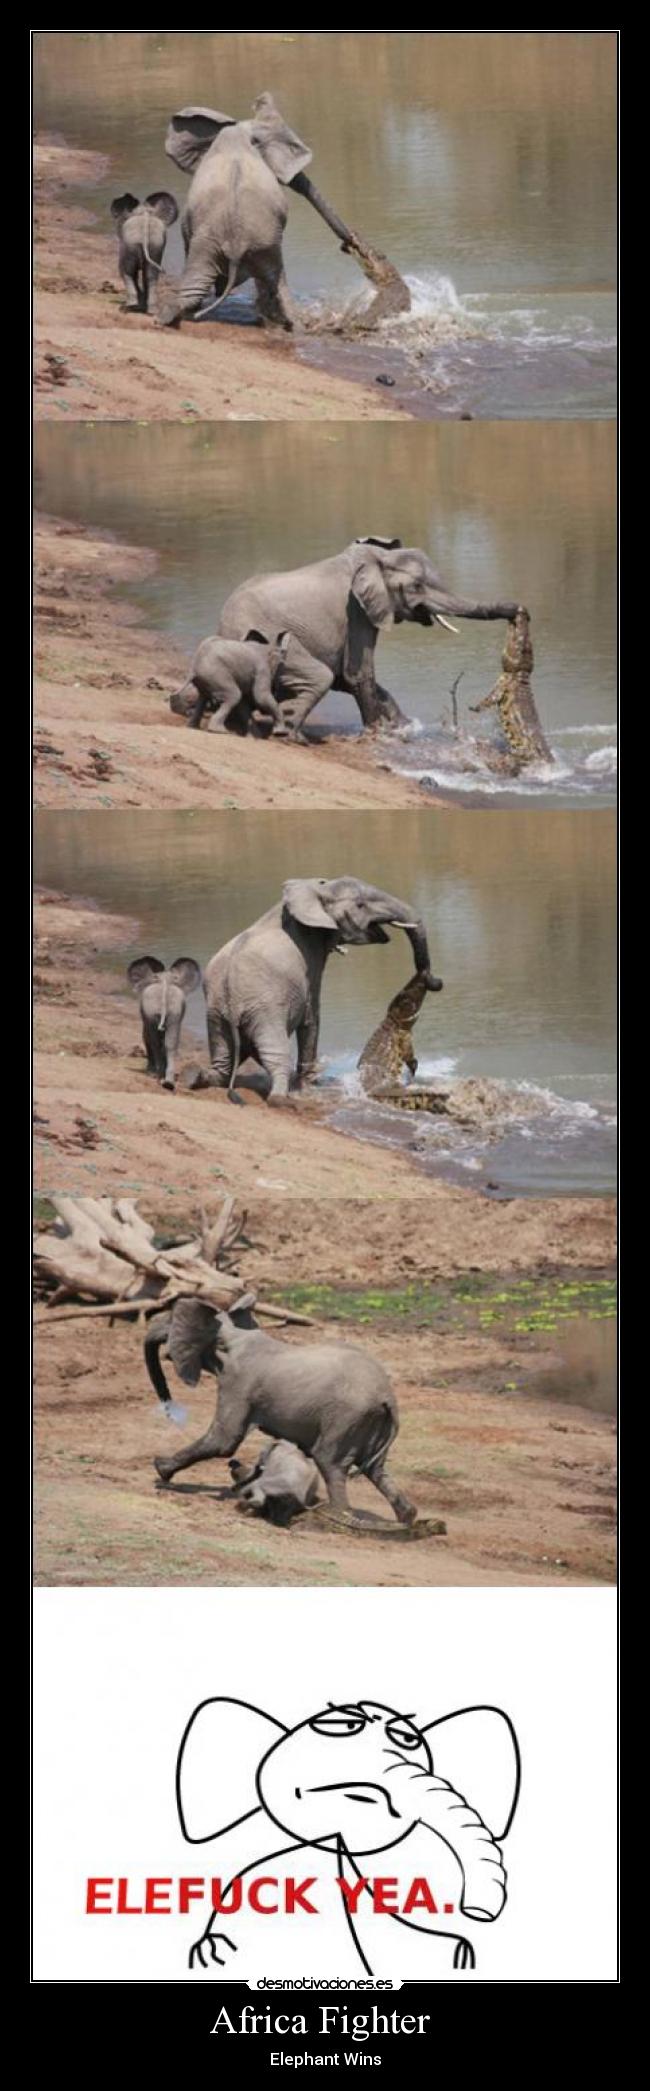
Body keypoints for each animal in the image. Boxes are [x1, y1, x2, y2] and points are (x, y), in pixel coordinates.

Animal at [127, 955, 201, 1091]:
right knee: (170, 1043)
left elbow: (146, 1036)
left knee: (155, 1041)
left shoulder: (146, 1013)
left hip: (152, 1009)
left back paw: (157, 1076)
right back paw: (168, 1082)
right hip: (174, 1012)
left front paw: (149, 1071)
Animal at [147, 1294, 416, 1525]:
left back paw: (337, 1517)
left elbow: (224, 1440)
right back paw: (407, 1519)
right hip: (371, 1422)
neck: (235, 1335)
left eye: (170, 1321)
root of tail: (388, 1397)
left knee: (330, 1462)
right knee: (376, 1470)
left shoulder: (238, 1383)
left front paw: (160, 1470)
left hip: (346, 1418)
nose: (169, 1407)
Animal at [170, 630, 333, 740]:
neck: (268, 646)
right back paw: (219, 731)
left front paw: (255, 737)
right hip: (216, 674)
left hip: (208, 678)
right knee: (232, 696)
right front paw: (279, 733)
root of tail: (193, 668)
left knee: (203, 698)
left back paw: (193, 727)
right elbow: (260, 697)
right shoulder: (262, 670)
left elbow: (245, 702)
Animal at [193, 875, 442, 1101]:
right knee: (275, 1054)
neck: (313, 890)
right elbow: (312, 1017)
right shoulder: (309, 961)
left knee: (223, 1059)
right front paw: (309, 1086)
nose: (433, 980)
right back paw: (280, 1097)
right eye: (360, 905)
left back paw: (197, 1078)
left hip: (216, 1013)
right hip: (264, 1010)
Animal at [218, 536, 523, 732]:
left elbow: (349, 678)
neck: (377, 559)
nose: (518, 610)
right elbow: (357, 674)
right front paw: (379, 734)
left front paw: (404, 727)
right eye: (416, 586)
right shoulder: (356, 612)